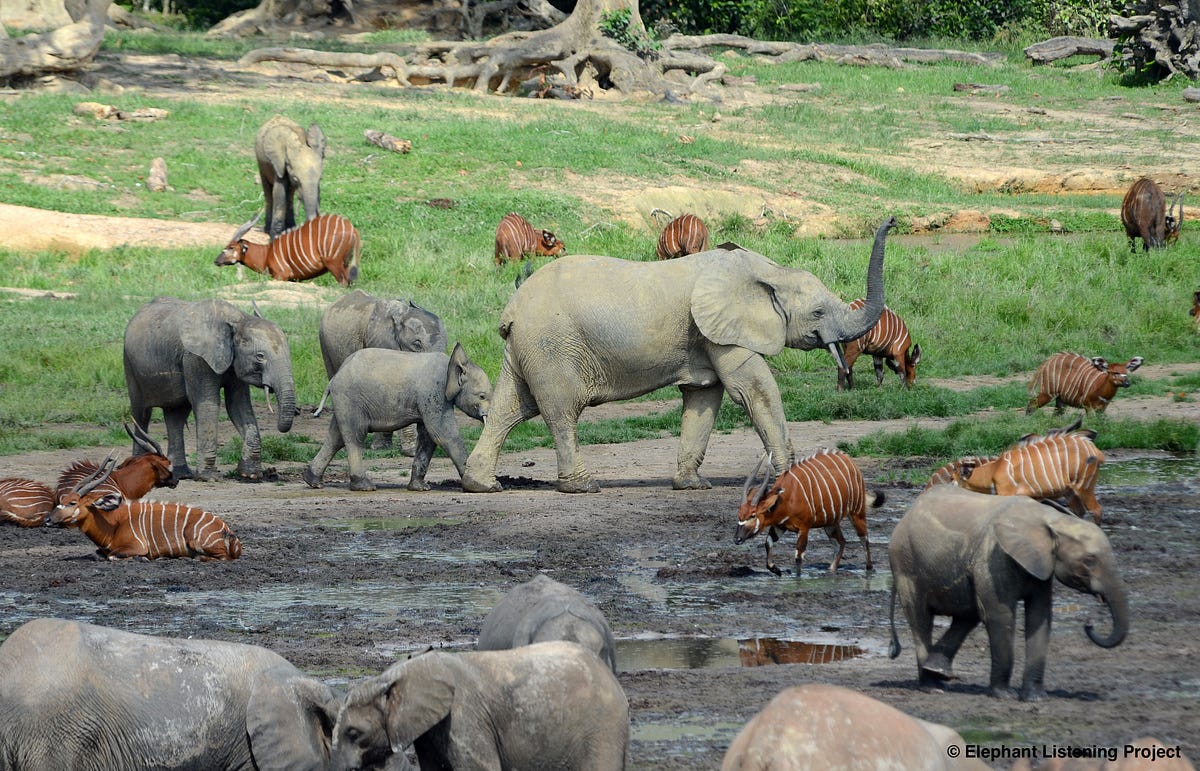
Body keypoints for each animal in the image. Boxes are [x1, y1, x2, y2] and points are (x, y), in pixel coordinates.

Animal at [124, 296, 295, 482]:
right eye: (260, 356)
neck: (239, 319)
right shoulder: (196, 358)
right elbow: (208, 404)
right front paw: (209, 477)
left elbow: (238, 405)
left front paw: (250, 475)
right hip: (130, 366)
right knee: (141, 414)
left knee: (176, 414)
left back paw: (181, 474)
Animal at [302, 344, 491, 492]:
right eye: (482, 396)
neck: (453, 364)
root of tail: (334, 377)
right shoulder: (433, 392)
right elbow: (442, 433)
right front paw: (482, 487)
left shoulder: (428, 399)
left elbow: (428, 437)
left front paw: (420, 488)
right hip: (350, 399)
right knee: (355, 436)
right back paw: (364, 486)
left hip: (344, 402)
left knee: (336, 437)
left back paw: (313, 481)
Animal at [462, 216, 896, 494]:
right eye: (818, 313)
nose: (891, 220)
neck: (770, 271)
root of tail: (512, 309)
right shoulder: (719, 329)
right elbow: (753, 389)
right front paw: (789, 480)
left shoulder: (705, 335)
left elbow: (704, 398)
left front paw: (692, 486)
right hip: (552, 345)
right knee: (560, 411)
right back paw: (582, 487)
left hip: (526, 347)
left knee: (510, 408)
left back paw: (482, 485)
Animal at [888, 485, 1129, 701]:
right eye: (1090, 560)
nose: (1089, 624)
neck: (1049, 519)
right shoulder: (994, 558)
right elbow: (1000, 616)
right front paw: (1004, 695)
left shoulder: (1040, 565)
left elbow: (1040, 617)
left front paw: (1035, 698)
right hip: (906, 565)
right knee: (922, 620)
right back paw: (931, 687)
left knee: (968, 616)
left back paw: (938, 674)